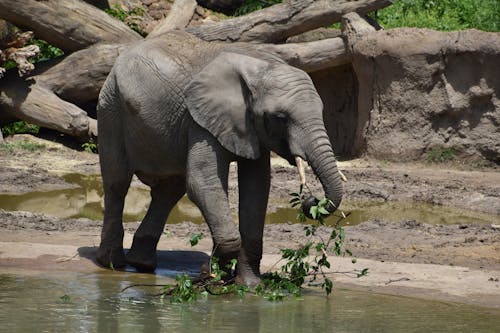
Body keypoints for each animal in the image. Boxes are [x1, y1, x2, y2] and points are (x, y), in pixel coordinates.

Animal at [95, 30, 342, 286]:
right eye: (281, 118)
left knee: (169, 191)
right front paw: (211, 276)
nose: (310, 200)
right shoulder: (200, 120)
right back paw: (111, 263)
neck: (261, 67)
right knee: (117, 182)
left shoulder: (249, 127)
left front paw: (248, 285)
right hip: (111, 107)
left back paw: (141, 264)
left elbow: (257, 189)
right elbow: (203, 182)